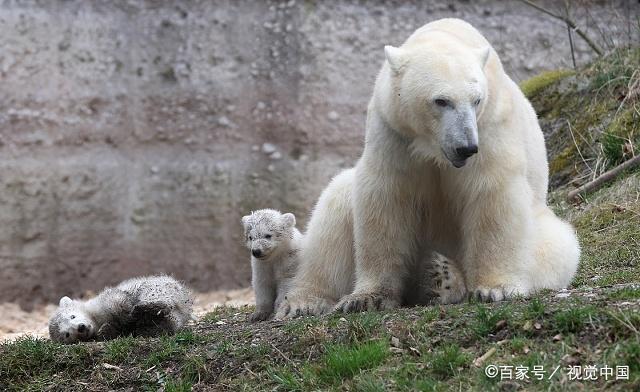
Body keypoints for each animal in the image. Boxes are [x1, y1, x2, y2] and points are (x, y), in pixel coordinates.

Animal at [276, 19, 580, 318]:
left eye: (476, 99)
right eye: (441, 100)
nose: (466, 147)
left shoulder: (490, 128)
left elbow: (492, 193)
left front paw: (495, 289)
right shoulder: (394, 130)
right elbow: (386, 198)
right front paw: (366, 298)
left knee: (556, 247)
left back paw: (445, 278)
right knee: (333, 212)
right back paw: (302, 302)